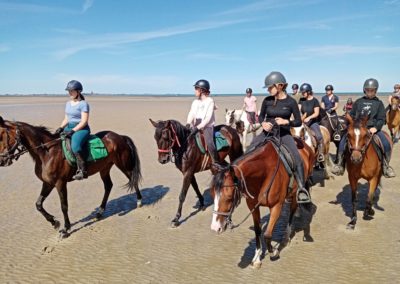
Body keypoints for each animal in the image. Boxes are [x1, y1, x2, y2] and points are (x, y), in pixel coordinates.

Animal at [0, 116, 142, 239]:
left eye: (1, 136)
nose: (2, 161)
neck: (47, 152)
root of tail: (120, 136)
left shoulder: (60, 183)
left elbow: (64, 206)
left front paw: (66, 229)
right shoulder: (48, 183)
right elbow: (38, 204)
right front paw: (54, 222)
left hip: (123, 165)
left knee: (133, 179)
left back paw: (139, 201)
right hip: (104, 168)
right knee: (108, 186)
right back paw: (100, 212)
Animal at [209, 135, 316, 268]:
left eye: (229, 196)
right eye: (212, 194)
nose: (215, 227)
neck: (264, 173)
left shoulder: (276, 206)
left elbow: (267, 234)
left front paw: (273, 252)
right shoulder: (253, 206)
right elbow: (258, 231)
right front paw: (257, 258)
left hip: (296, 190)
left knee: (292, 212)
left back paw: (286, 236)